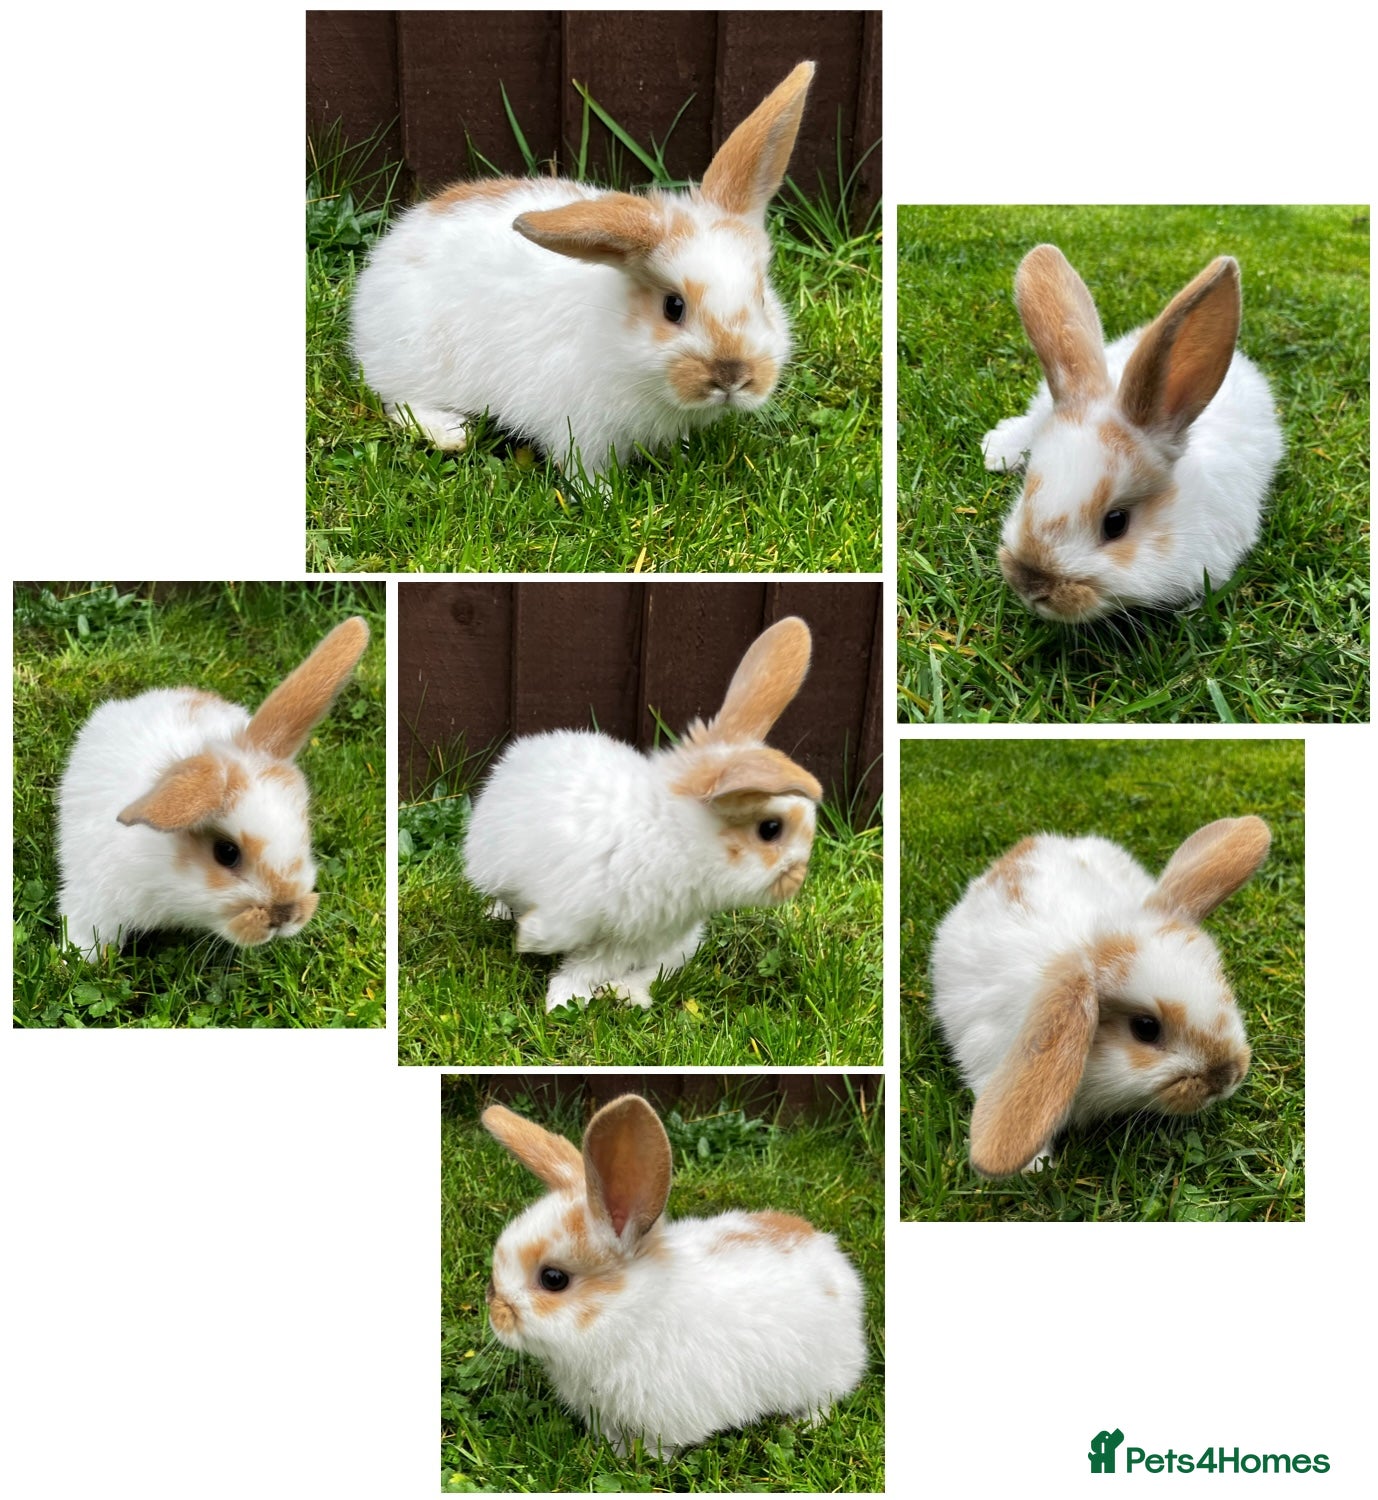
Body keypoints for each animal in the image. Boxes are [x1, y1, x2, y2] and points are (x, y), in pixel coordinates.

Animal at [349, 62, 815, 479]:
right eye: (673, 307)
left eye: (762, 299)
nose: (733, 377)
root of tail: (392, 247)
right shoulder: (580, 429)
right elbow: (584, 472)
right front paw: (604, 500)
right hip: (417, 362)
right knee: (399, 401)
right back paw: (451, 435)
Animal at [463, 616, 822, 1012]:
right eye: (771, 829)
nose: (797, 879)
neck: (675, 840)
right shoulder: (575, 902)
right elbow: (556, 931)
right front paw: (527, 940)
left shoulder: (634, 939)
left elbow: (587, 966)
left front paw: (565, 999)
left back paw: (624, 994)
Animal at [481, 1094, 867, 1456]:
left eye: (553, 1279)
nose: (495, 1311)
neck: (633, 1315)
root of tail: (829, 1253)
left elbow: (659, 1448)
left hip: (823, 1374)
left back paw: (803, 1423)